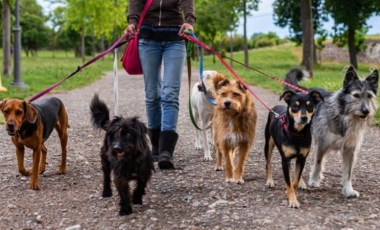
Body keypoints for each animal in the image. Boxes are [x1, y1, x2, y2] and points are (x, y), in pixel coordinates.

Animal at [284, 66, 378, 198]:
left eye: (369, 96)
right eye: (356, 95)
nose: (366, 111)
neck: (344, 116)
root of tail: (305, 91)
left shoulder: (350, 148)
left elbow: (348, 172)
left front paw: (348, 190)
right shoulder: (323, 142)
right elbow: (318, 162)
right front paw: (314, 180)